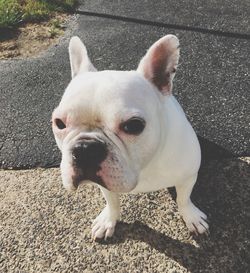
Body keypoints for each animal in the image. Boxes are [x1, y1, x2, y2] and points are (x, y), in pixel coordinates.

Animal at [52, 35, 209, 239]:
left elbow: (184, 198)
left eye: (133, 125)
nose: (85, 148)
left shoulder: (188, 177)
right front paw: (108, 220)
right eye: (59, 123)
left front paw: (191, 217)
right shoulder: (105, 185)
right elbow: (111, 201)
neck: (144, 166)